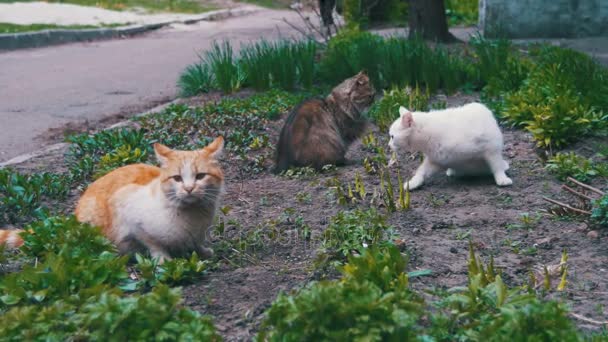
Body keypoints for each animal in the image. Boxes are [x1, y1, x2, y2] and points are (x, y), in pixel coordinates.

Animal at [0, 136, 223, 262]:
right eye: (177, 178)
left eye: (200, 176)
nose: (189, 188)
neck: (193, 218)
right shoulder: (126, 209)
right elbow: (152, 243)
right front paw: (163, 259)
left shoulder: (198, 233)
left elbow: (195, 243)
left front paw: (201, 251)